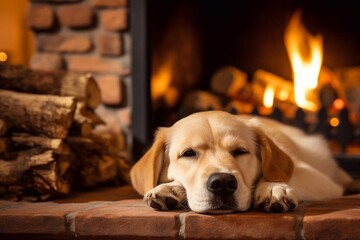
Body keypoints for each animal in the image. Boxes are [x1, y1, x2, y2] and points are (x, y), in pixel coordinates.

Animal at [130, 110, 358, 214]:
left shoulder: (320, 179)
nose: (222, 183)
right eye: (188, 153)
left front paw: (273, 187)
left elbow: (277, 175)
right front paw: (170, 188)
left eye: (240, 151)